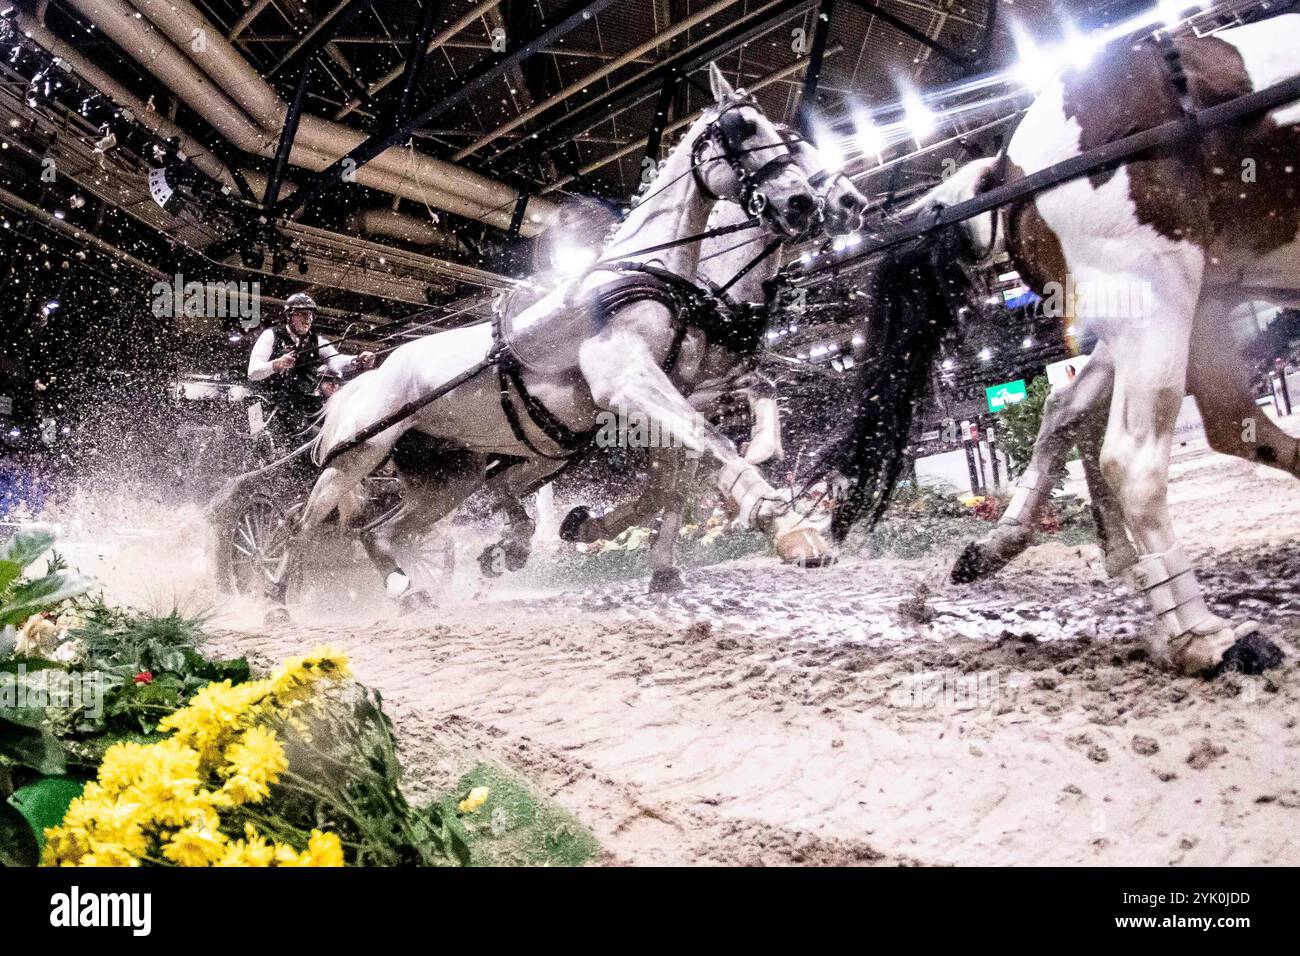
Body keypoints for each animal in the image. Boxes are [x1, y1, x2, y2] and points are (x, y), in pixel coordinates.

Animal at [278, 65, 826, 613]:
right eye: (743, 128)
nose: (805, 204)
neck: (662, 277)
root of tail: (365, 376)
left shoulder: (678, 388)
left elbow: (724, 424)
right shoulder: (628, 384)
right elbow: (705, 440)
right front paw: (781, 518)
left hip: (454, 476)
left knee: (382, 531)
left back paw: (416, 586)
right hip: (355, 458)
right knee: (300, 523)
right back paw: (281, 600)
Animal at [821, 13, 1300, 671]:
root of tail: (1009, 167)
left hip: (1165, 308)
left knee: (1084, 411)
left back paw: (1006, 544)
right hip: (1158, 299)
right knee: (1136, 455)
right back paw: (1204, 635)